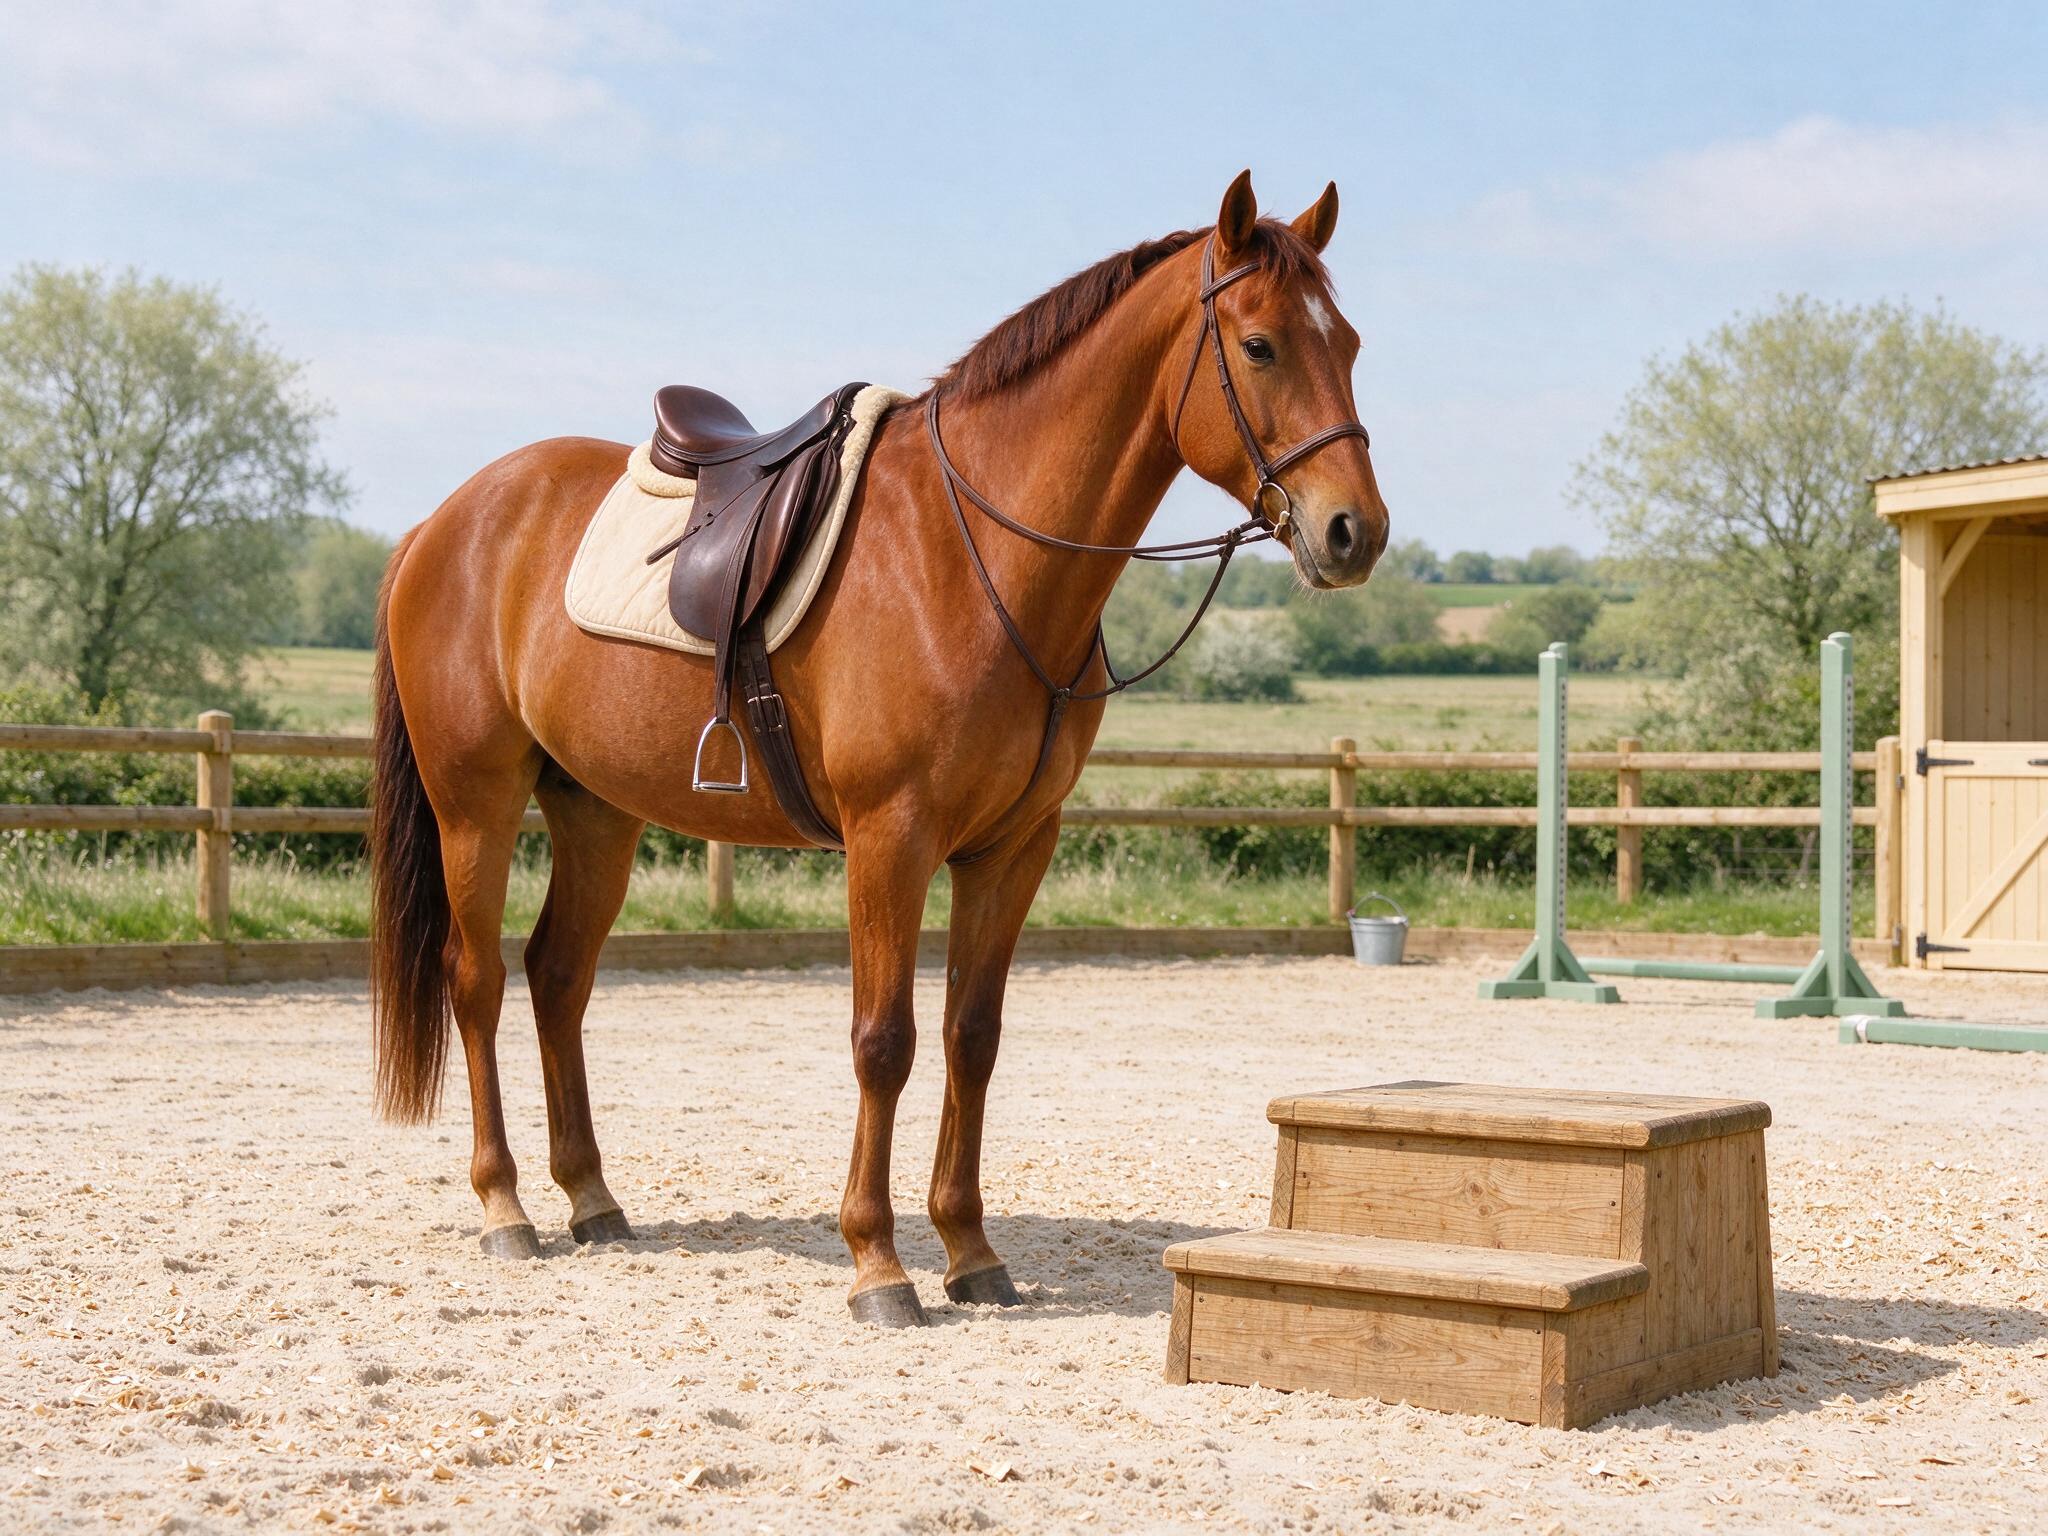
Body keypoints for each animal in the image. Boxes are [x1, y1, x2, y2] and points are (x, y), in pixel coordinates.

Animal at [368, 171, 1390, 1327]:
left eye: (1349, 343)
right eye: (1259, 345)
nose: (1354, 532)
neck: (974, 551)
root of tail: (442, 522)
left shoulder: (1011, 848)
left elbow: (970, 1037)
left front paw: (971, 1250)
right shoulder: (888, 837)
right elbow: (884, 1040)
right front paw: (879, 1263)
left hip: (596, 810)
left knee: (556, 977)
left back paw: (592, 1198)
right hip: (477, 804)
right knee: (479, 982)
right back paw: (504, 1208)